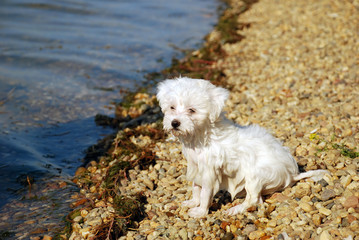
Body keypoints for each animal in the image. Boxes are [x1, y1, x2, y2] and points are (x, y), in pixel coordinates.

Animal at [157, 78, 330, 218]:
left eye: (192, 110)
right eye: (172, 108)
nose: (175, 123)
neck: (201, 135)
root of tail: (292, 174)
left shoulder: (209, 172)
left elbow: (205, 193)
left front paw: (200, 212)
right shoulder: (196, 166)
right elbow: (196, 188)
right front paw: (193, 202)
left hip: (256, 174)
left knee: (254, 200)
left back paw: (236, 209)